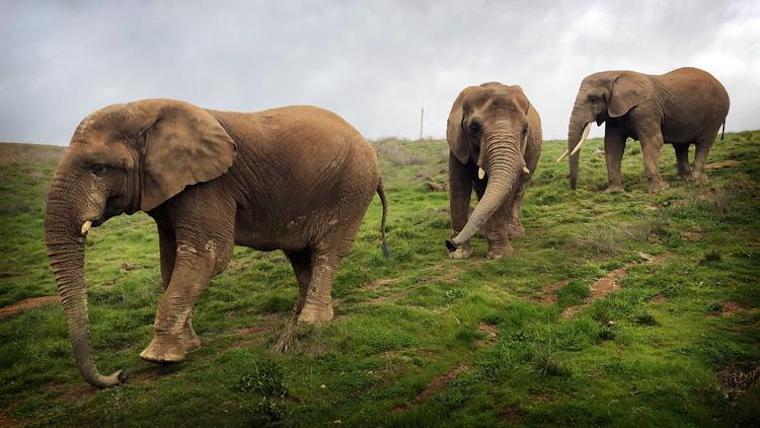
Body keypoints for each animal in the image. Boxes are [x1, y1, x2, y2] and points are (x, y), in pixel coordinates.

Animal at [44, 99, 388, 388]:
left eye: (99, 169)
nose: (119, 375)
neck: (144, 112)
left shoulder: (210, 185)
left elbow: (208, 256)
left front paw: (159, 358)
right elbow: (171, 263)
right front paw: (188, 346)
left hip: (351, 188)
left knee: (326, 253)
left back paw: (311, 321)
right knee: (301, 255)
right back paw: (298, 318)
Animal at [444, 83, 542, 259]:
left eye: (525, 130)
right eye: (474, 128)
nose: (450, 243)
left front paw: (500, 256)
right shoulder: (458, 141)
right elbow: (459, 184)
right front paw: (459, 255)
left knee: (520, 189)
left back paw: (513, 234)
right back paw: (483, 233)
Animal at [559, 67, 729, 193]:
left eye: (593, 99)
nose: (574, 190)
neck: (615, 74)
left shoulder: (646, 108)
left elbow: (653, 140)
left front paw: (659, 190)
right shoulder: (614, 111)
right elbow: (613, 146)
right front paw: (614, 192)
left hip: (716, 112)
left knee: (704, 142)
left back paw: (696, 181)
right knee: (681, 145)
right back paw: (683, 179)